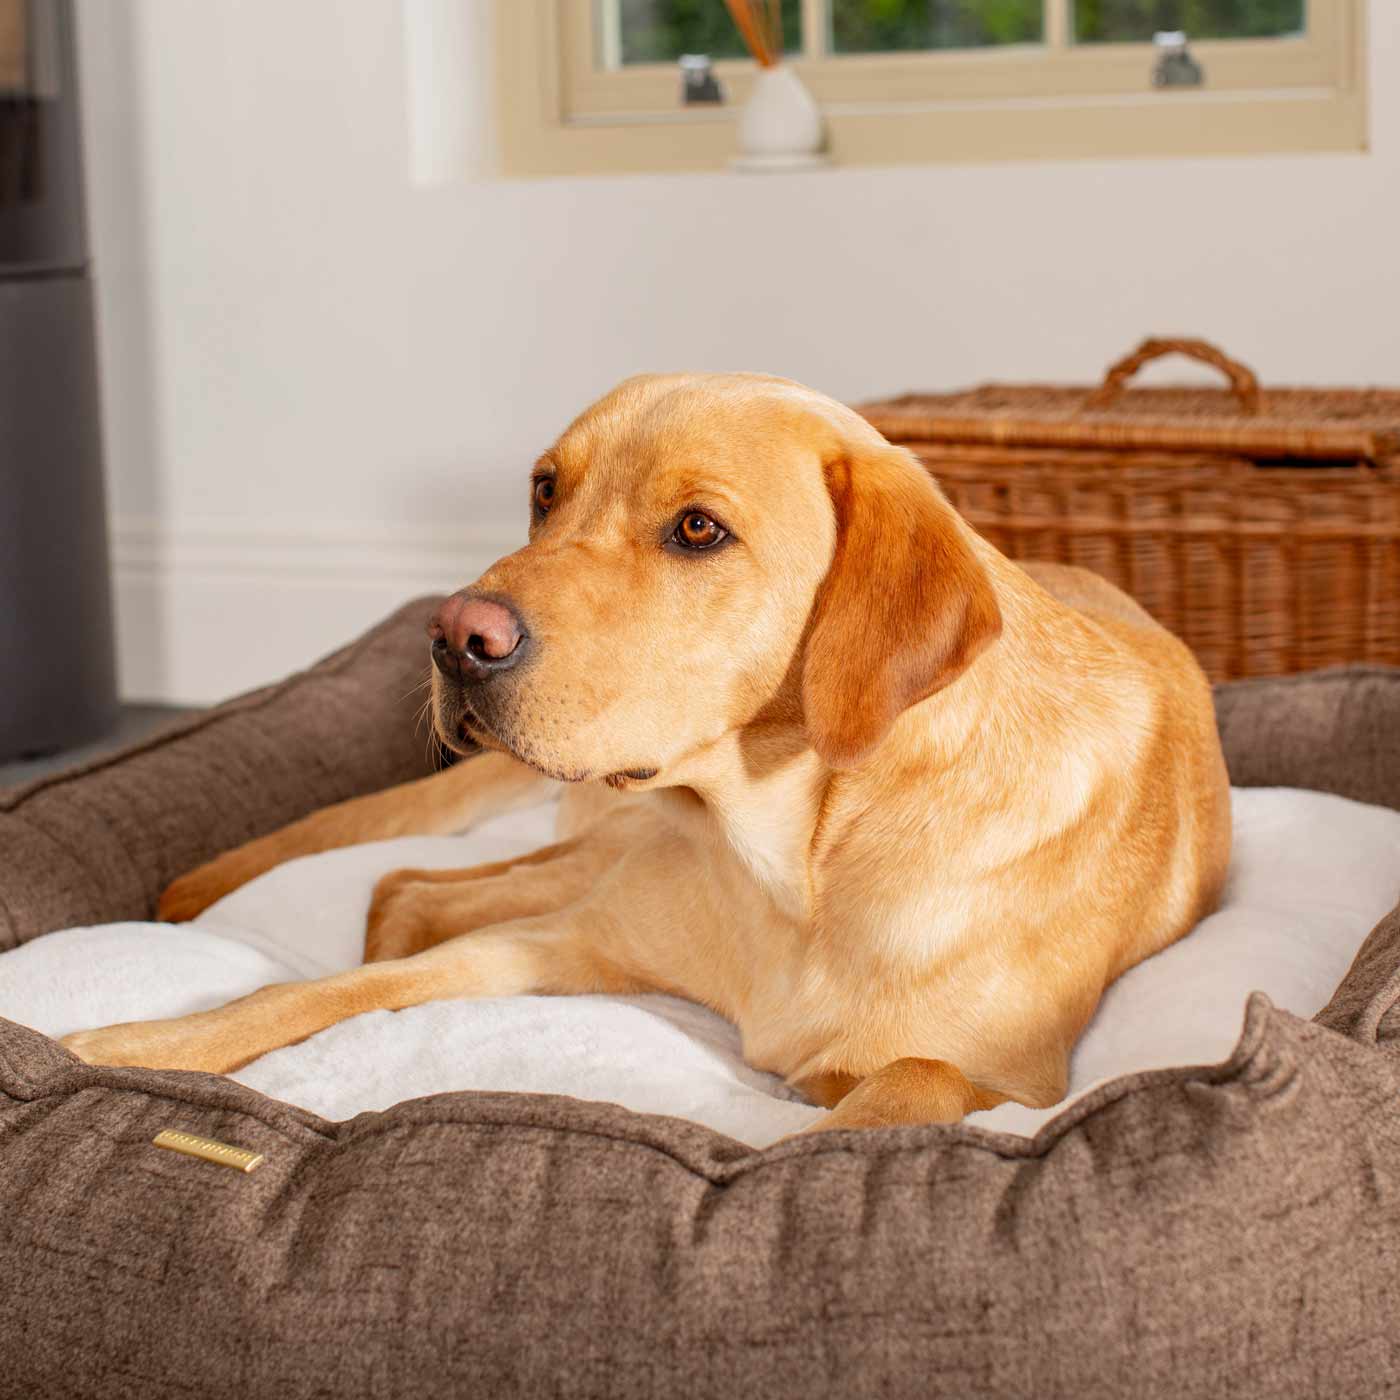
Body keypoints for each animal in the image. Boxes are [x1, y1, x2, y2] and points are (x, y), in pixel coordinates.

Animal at [63, 375, 1226, 1136]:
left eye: (698, 529)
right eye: (544, 488)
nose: (454, 634)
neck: (800, 858)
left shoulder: (999, 1074)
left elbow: (886, 1100)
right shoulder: (559, 941)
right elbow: (301, 996)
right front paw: (122, 1050)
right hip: (593, 856)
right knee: (412, 891)